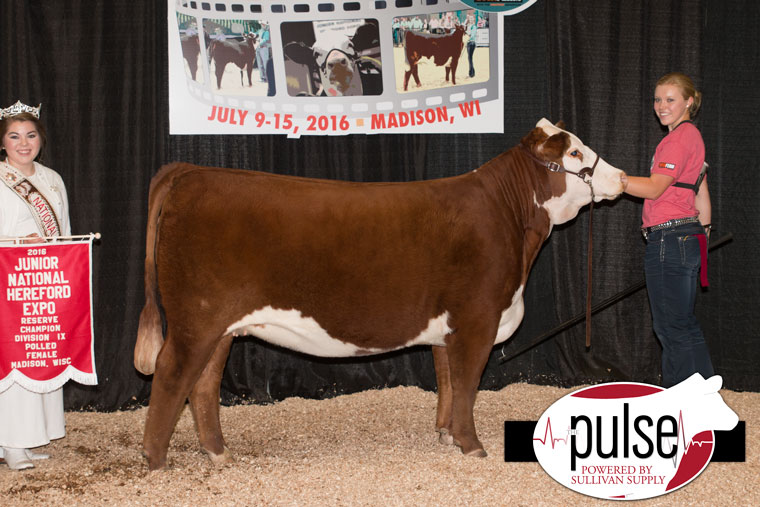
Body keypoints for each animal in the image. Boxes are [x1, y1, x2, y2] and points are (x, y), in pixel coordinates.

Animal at [135, 120, 624, 472]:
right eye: (575, 152)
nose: (620, 176)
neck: (510, 219)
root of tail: (191, 172)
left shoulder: (449, 327)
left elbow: (448, 380)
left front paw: (445, 434)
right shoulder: (477, 320)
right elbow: (468, 384)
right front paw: (472, 446)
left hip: (220, 326)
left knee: (203, 384)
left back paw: (218, 452)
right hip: (196, 318)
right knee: (172, 374)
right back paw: (156, 462)